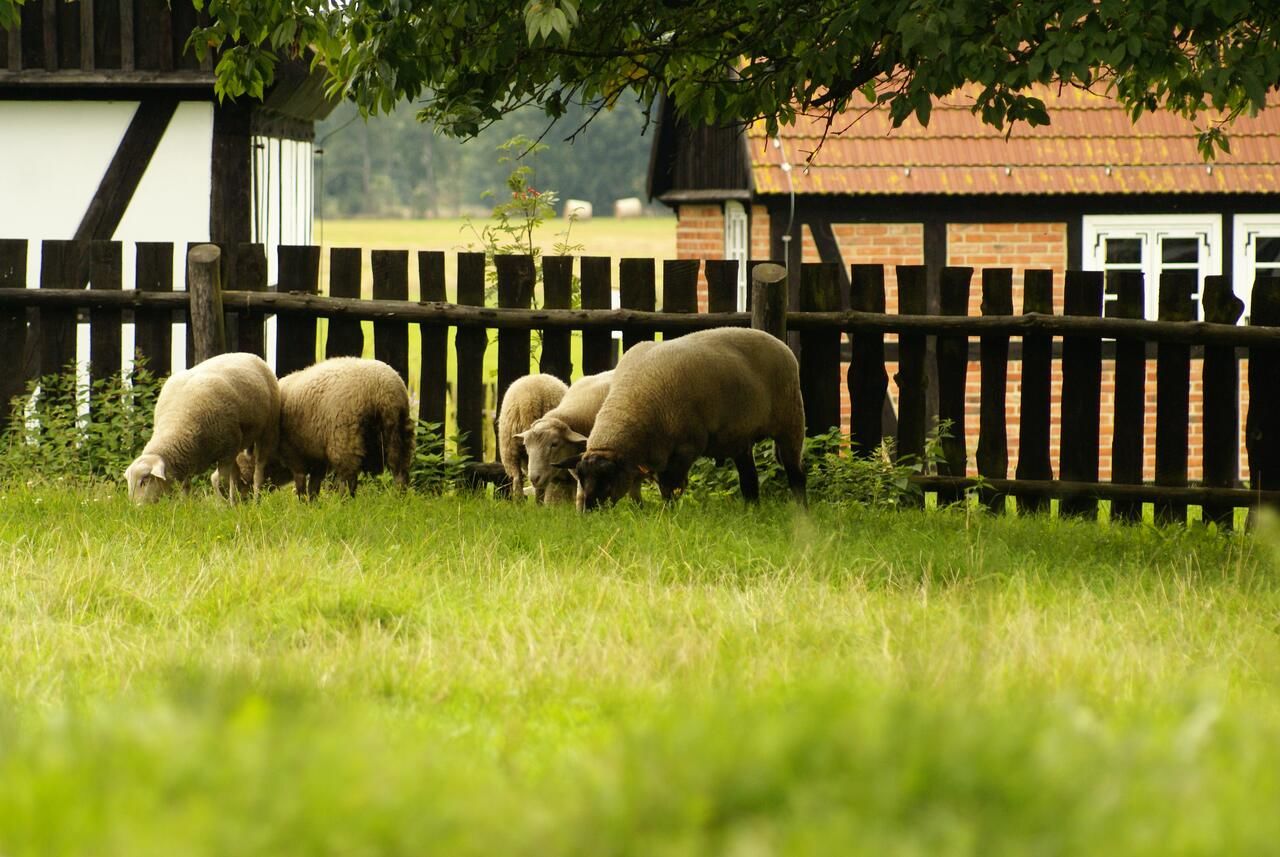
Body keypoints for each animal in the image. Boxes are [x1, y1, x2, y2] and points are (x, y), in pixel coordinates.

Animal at [124, 353, 280, 506]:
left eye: (144, 480)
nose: (136, 509)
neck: (177, 420)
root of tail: (248, 354)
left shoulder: (226, 453)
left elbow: (218, 481)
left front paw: (221, 507)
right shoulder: (189, 460)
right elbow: (186, 487)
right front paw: (186, 507)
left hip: (267, 430)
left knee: (258, 471)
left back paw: (255, 501)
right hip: (237, 443)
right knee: (235, 474)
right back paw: (234, 503)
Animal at [276, 355, 412, 501]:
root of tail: (381, 390)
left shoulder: (294, 453)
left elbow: (301, 482)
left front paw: (303, 502)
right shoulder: (318, 457)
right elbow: (314, 484)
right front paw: (313, 503)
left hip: (345, 438)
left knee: (348, 478)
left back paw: (344, 502)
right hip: (398, 431)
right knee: (400, 470)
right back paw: (400, 498)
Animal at [563, 330, 803, 511]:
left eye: (607, 476)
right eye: (580, 477)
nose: (588, 512)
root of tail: (781, 344)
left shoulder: (685, 448)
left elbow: (671, 488)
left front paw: (668, 514)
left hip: (791, 420)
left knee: (796, 475)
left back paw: (802, 513)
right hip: (740, 437)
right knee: (749, 480)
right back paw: (751, 512)